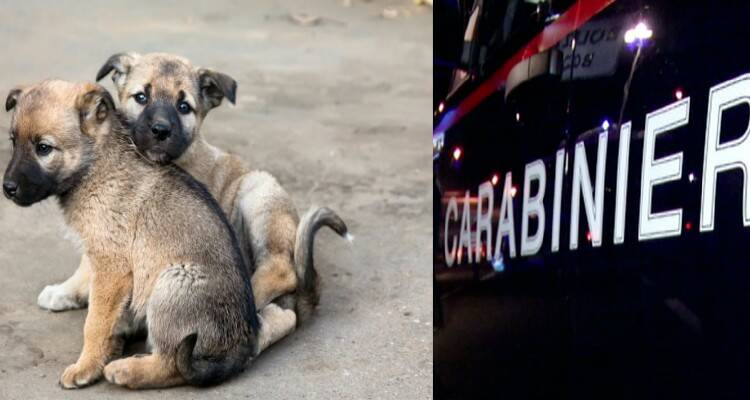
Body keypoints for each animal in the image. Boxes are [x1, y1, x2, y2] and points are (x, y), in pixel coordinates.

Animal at [3, 79, 296, 390]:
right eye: (13, 141)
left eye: (44, 148)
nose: (7, 188)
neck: (95, 162)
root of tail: (239, 346)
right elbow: (101, 307)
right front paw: (105, 342)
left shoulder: (111, 266)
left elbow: (94, 322)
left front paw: (86, 367)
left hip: (170, 283)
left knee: (172, 365)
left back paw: (127, 370)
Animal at [39, 52, 350, 328]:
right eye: (141, 97)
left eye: (184, 106)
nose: (160, 130)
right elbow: (88, 261)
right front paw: (66, 291)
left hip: (258, 191)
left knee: (281, 269)